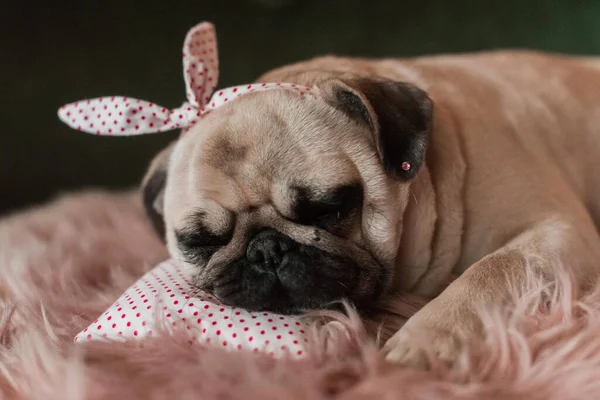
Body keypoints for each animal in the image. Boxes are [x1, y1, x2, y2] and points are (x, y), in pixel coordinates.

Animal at [142, 50, 600, 368]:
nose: (266, 250)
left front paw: (424, 340)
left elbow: (489, 272)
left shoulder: (552, 228)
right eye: (199, 241)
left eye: (330, 207)